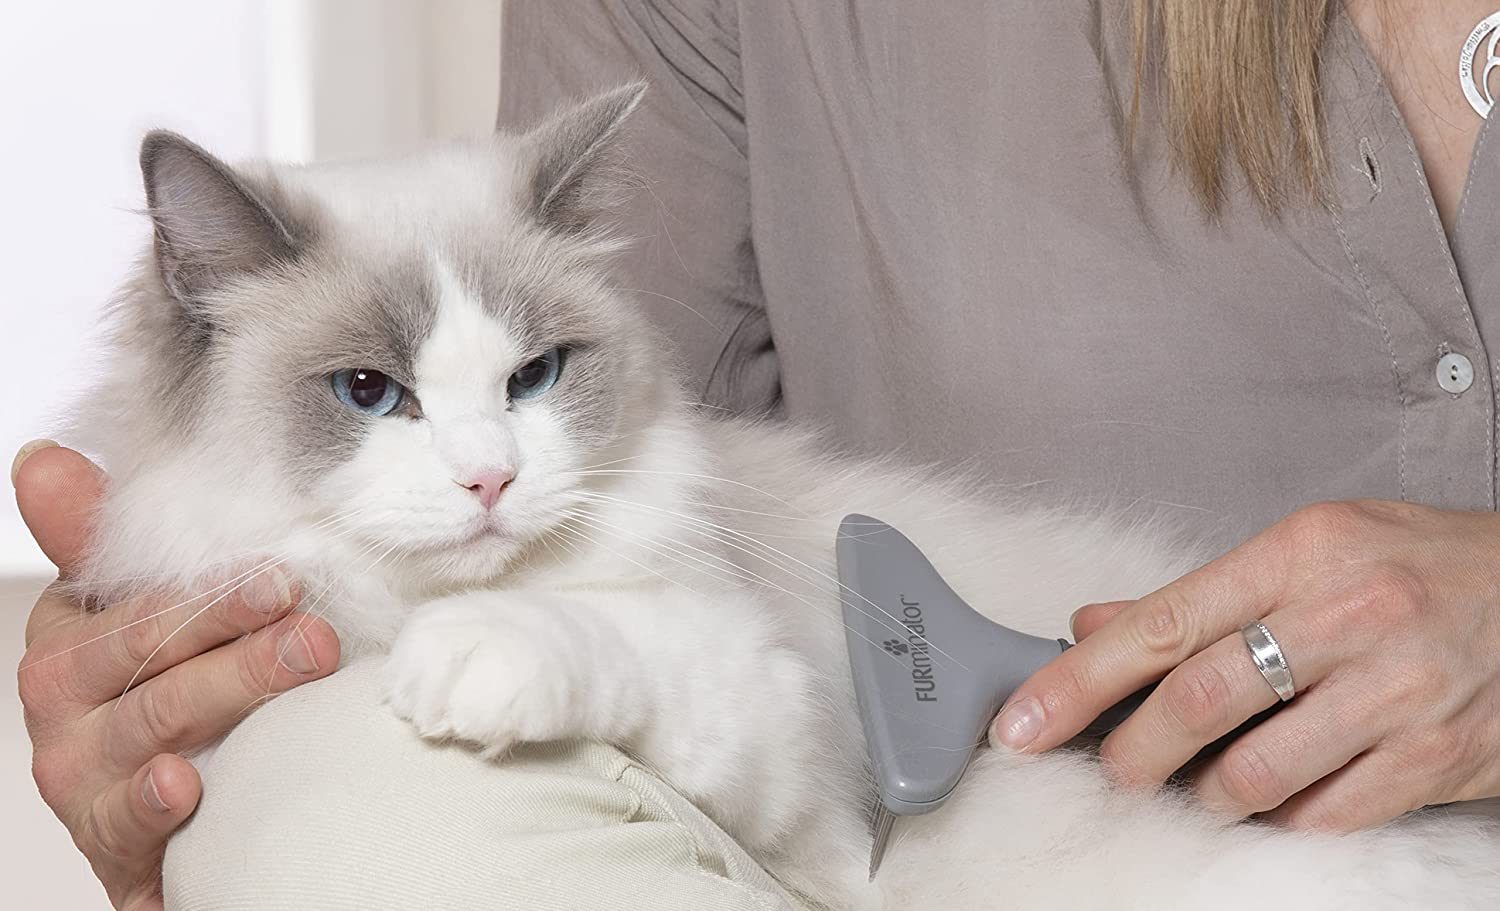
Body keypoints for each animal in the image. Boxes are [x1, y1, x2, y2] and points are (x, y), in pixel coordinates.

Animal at [70, 81, 1500, 906]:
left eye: (535, 376)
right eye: (371, 392)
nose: (490, 477)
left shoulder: (801, 786)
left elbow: (608, 636)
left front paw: (463, 660)